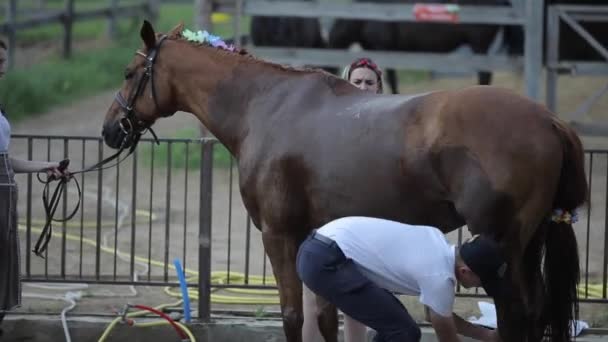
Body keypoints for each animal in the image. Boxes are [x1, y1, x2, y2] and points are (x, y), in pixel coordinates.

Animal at [104, 22, 588, 342]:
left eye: (129, 73)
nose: (111, 130)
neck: (266, 107)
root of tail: (549, 120)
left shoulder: (279, 235)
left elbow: (293, 315)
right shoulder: (313, 236)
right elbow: (325, 318)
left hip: (502, 243)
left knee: (515, 315)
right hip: (528, 243)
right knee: (535, 311)